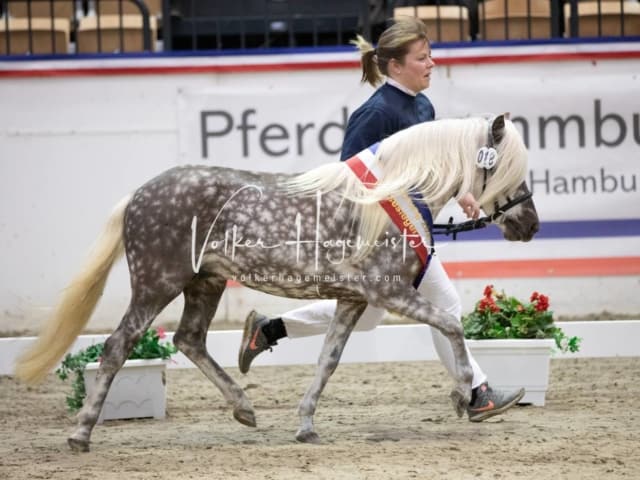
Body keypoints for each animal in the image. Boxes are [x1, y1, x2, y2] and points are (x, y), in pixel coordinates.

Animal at [13, 112, 540, 450]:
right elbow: (451, 326)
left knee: (189, 339)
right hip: (157, 283)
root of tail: (138, 195)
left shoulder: (353, 300)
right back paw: (80, 434)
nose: (529, 224)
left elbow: (328, 360)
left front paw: (306, 425)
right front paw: (462, 397)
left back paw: (245, 408)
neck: (390, 198)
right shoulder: (387, 292)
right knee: (118, 345)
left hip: (205, 282)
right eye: (505, 167)